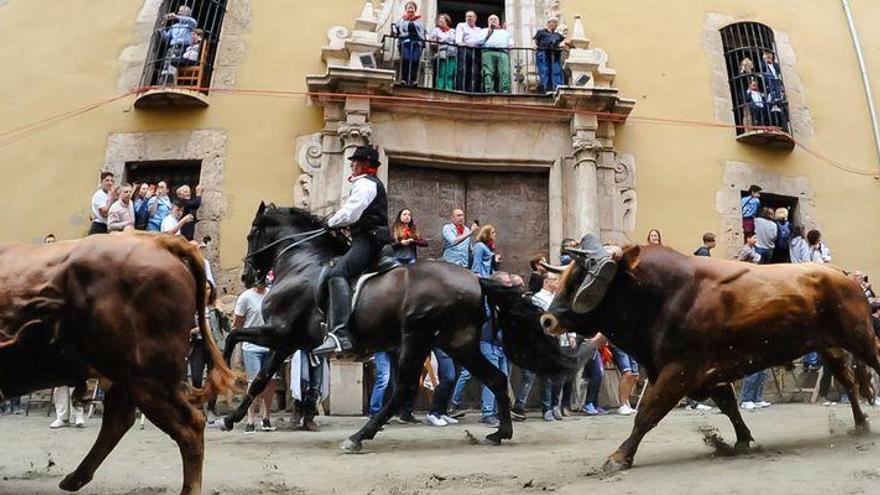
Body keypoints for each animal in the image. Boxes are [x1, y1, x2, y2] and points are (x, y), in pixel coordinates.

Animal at [0, 233, 237, 495]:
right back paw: (74, 478)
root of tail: (158, 241)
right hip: (125, 377)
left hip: (149, 378)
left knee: (188, 425)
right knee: (119, 420)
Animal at [223, 203, 576, 452]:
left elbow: (234, 339)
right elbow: (259, 378)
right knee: (495, 378)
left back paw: (359, 436)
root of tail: (475, 278)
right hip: (456, 343)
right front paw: (230, 417)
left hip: (416, 340)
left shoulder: (281, 332)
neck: (302, 264)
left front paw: (221, 381)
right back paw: (500, 432)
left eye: (252, 233)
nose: (247, 276)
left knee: (402, 390)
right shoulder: (286, 340)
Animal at [540, 244, 880, 472]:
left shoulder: (680, 371)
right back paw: (860, 423)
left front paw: (620, 456)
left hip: (860, 338)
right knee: (848, 381)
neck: (663, 294)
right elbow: (729, 406)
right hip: (829, 347)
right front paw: (742, 440)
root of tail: (842, 275)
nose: (546, 320)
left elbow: (647, 413)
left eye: (579, 280)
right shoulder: (704, 372)